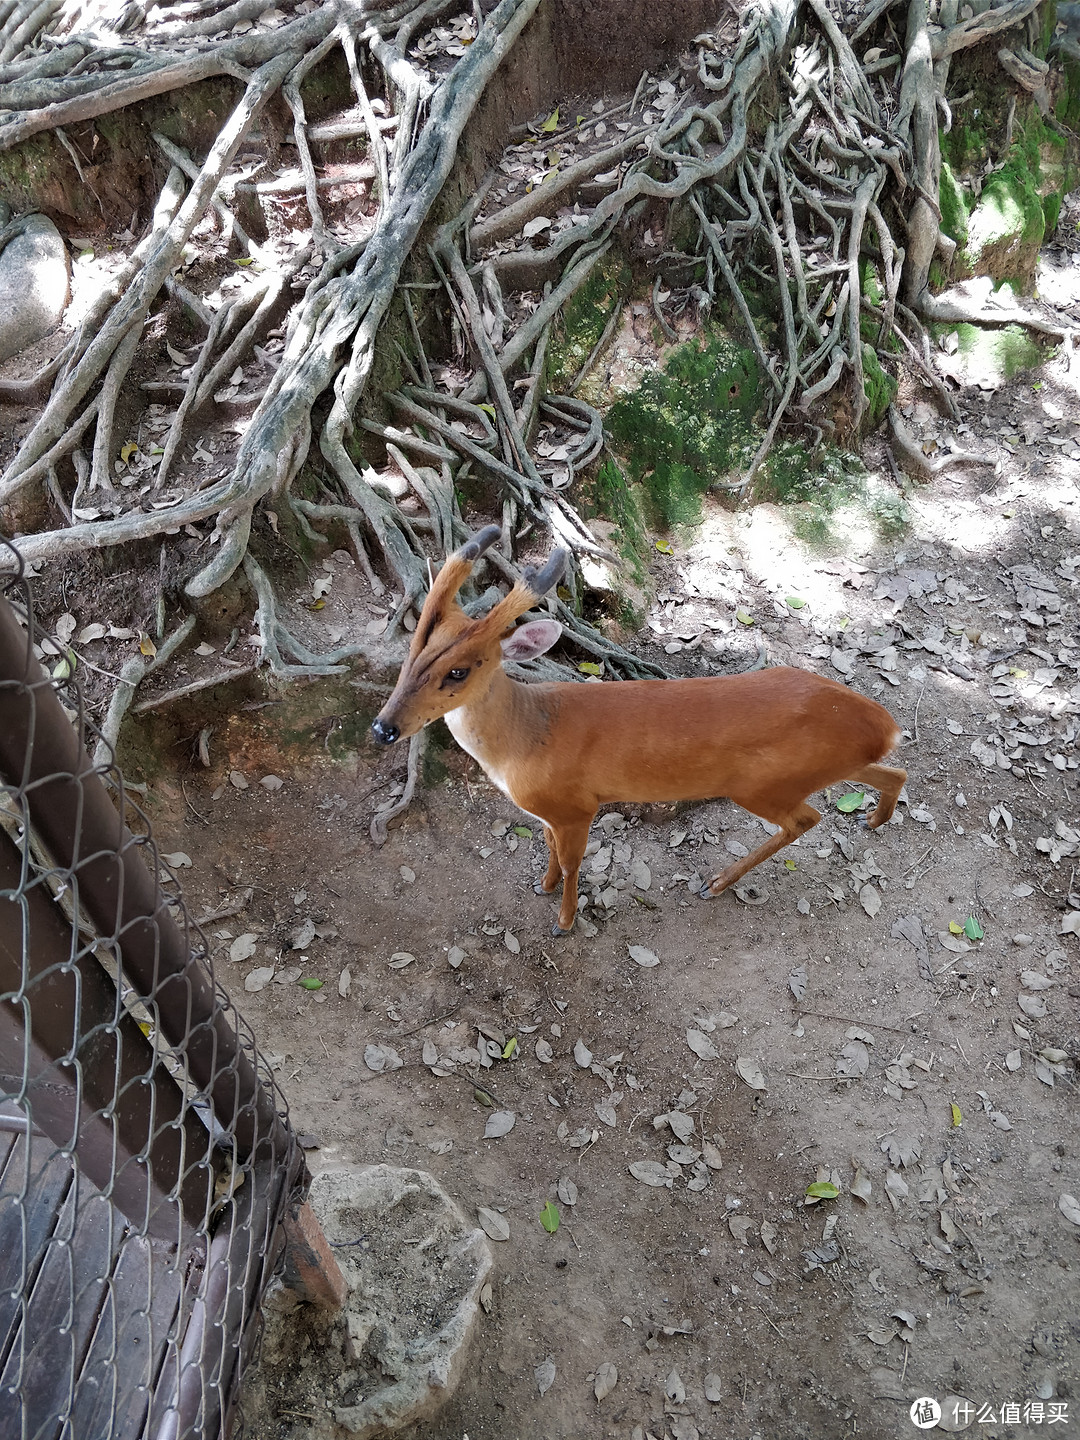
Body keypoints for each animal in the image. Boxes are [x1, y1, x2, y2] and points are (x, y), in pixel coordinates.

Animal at [377, 527, 910, 933]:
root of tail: (883, 724)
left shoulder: (577, 806)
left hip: (762, 784)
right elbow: (547, 847)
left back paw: (716, 882)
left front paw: (564, 921)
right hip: (823, 765)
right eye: (414, 644)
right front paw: (543, 886)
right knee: (891, 772)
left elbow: (571, 861)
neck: (526, 738)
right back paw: (874, 819)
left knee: (806, 819)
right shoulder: (549, 811)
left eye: (458, 672)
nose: (384, 728)